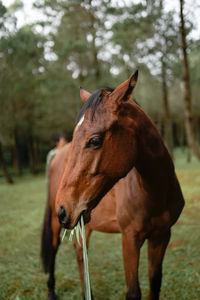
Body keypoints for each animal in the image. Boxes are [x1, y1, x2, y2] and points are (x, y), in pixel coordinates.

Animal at [54, 71, 184, 300]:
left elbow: (155, 282)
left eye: (95, 140)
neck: (156, 194)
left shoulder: (162, 236)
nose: (62, 209)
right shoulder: (129, 239)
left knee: (80, 255)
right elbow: (133, 291)